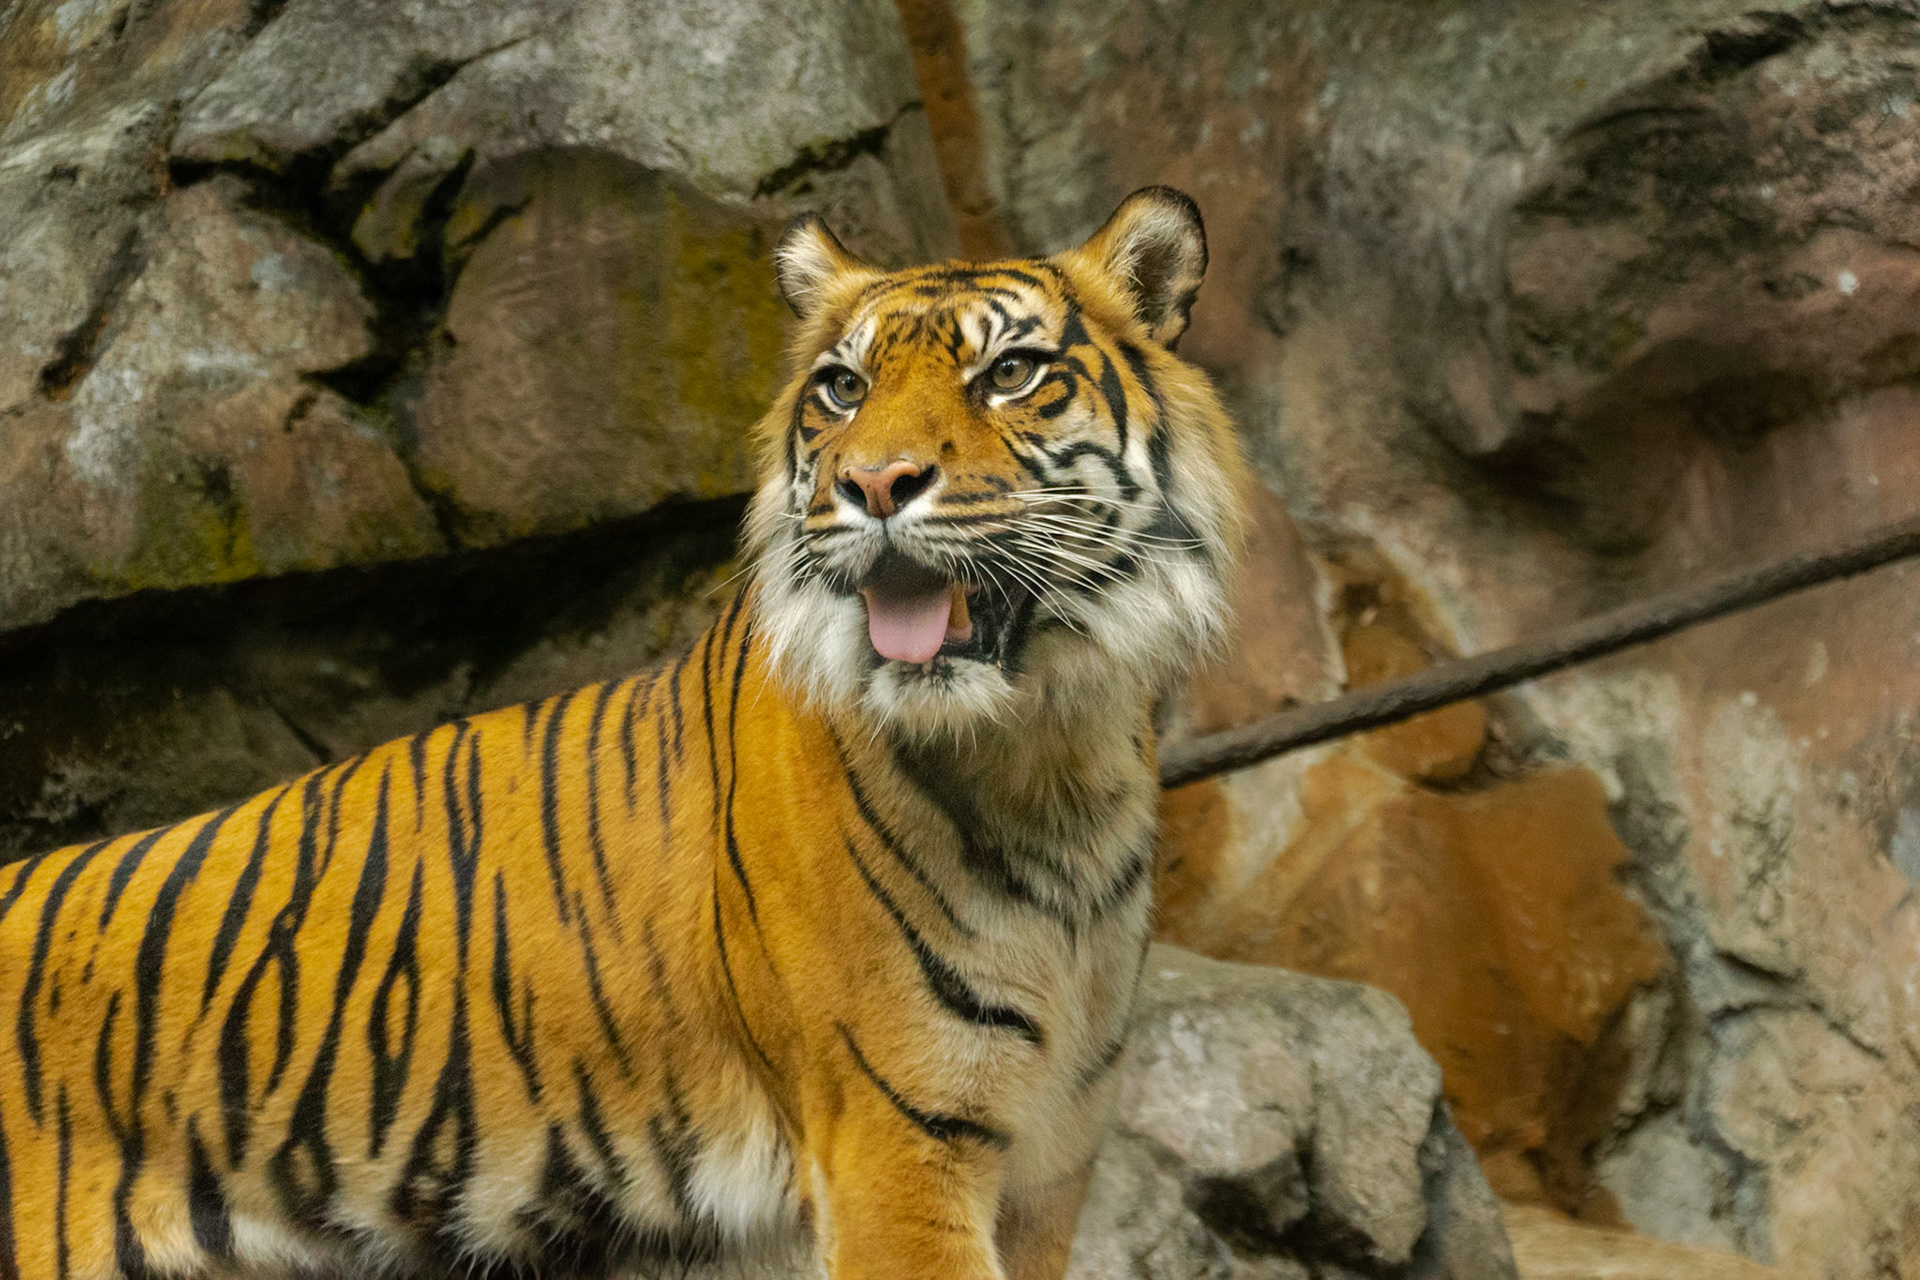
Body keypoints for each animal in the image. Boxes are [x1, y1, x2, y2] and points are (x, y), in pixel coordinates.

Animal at [0, 185, 1247, 1280]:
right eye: (843, 388)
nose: (873, 482)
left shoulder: (1047, 1162)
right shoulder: (896, 1146)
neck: (1053, 753)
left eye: (1012, 373)